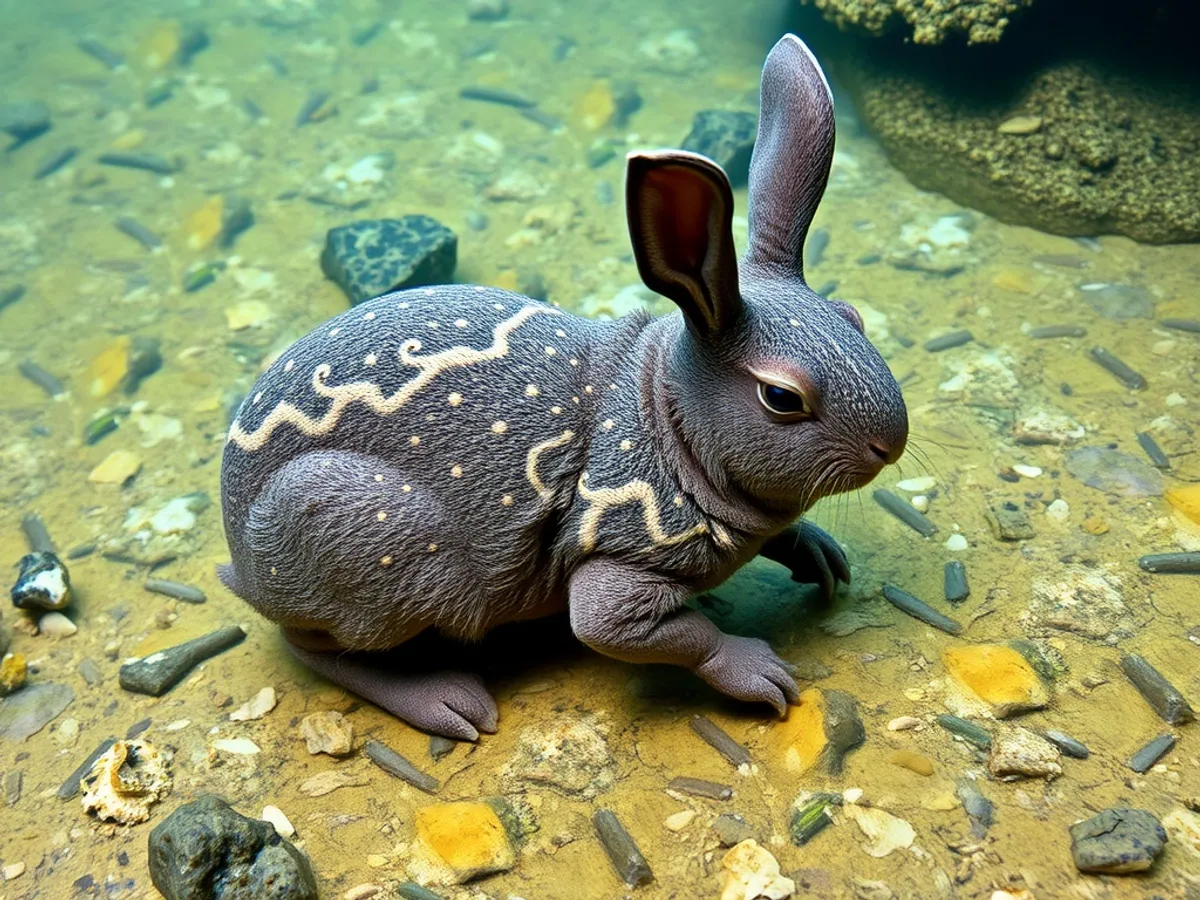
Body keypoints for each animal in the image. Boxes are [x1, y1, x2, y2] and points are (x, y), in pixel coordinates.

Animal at [218, 33, 908, 740]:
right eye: (782, 398)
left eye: (854, 318)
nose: (893, 444)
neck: (667, 421)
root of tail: (239, 556)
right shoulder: (618, 576)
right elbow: (669, 634)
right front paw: (760, 671)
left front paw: (820, 553)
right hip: (387, 549)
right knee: (313, 644)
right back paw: (442, 699)